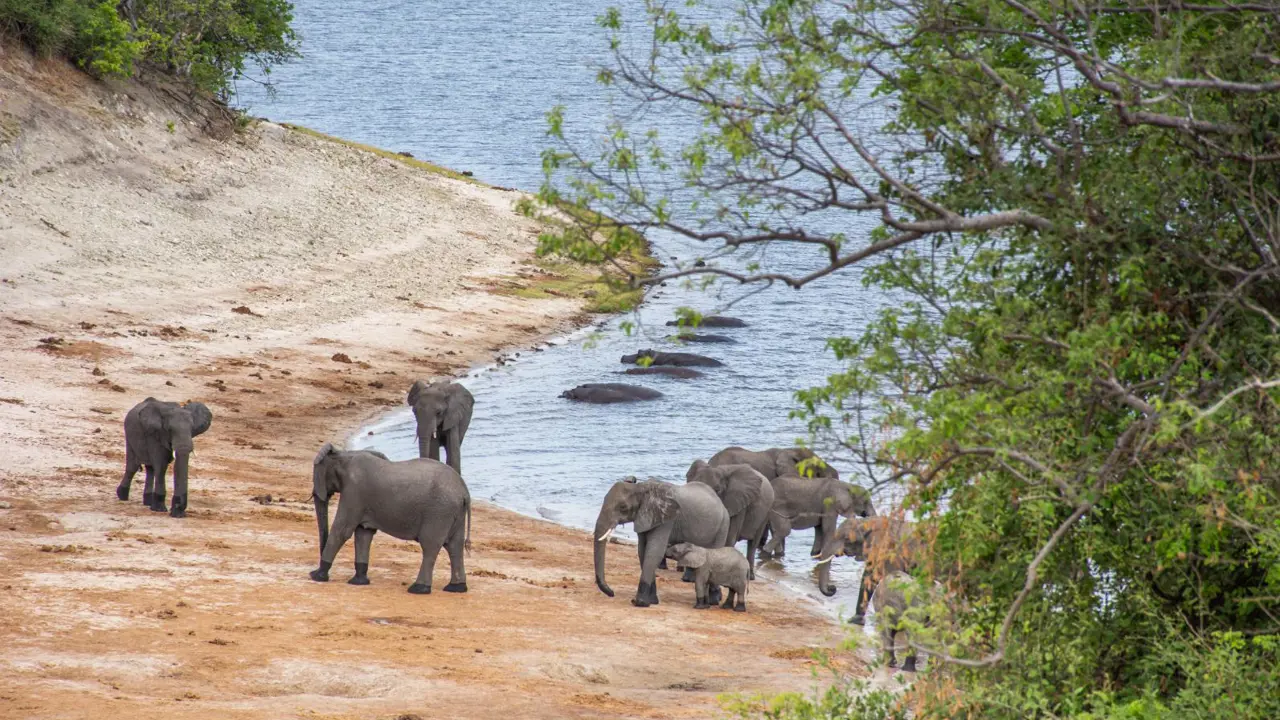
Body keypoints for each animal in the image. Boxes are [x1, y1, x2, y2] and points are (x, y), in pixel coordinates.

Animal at [309, 440, 471, 591]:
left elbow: (342, 530)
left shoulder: (353, 491)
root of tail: (464, 491)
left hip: (439, 512)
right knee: (455, 546)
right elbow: (364, 533)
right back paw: (455, 588)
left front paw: (317, 576)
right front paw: (358, 582)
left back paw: (418, 589)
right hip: (454, 513)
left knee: (430, 546)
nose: (316, 569)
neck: (344, 455)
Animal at [591, 476, 727, 604]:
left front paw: (639, 602)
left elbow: (654, 551)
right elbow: (642, 551)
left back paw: (714, 601)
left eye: (623, 507)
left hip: (723, 526)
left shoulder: (666, 519)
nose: (612, 593)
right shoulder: (645, 518)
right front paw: (652, 601)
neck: (640, 488)